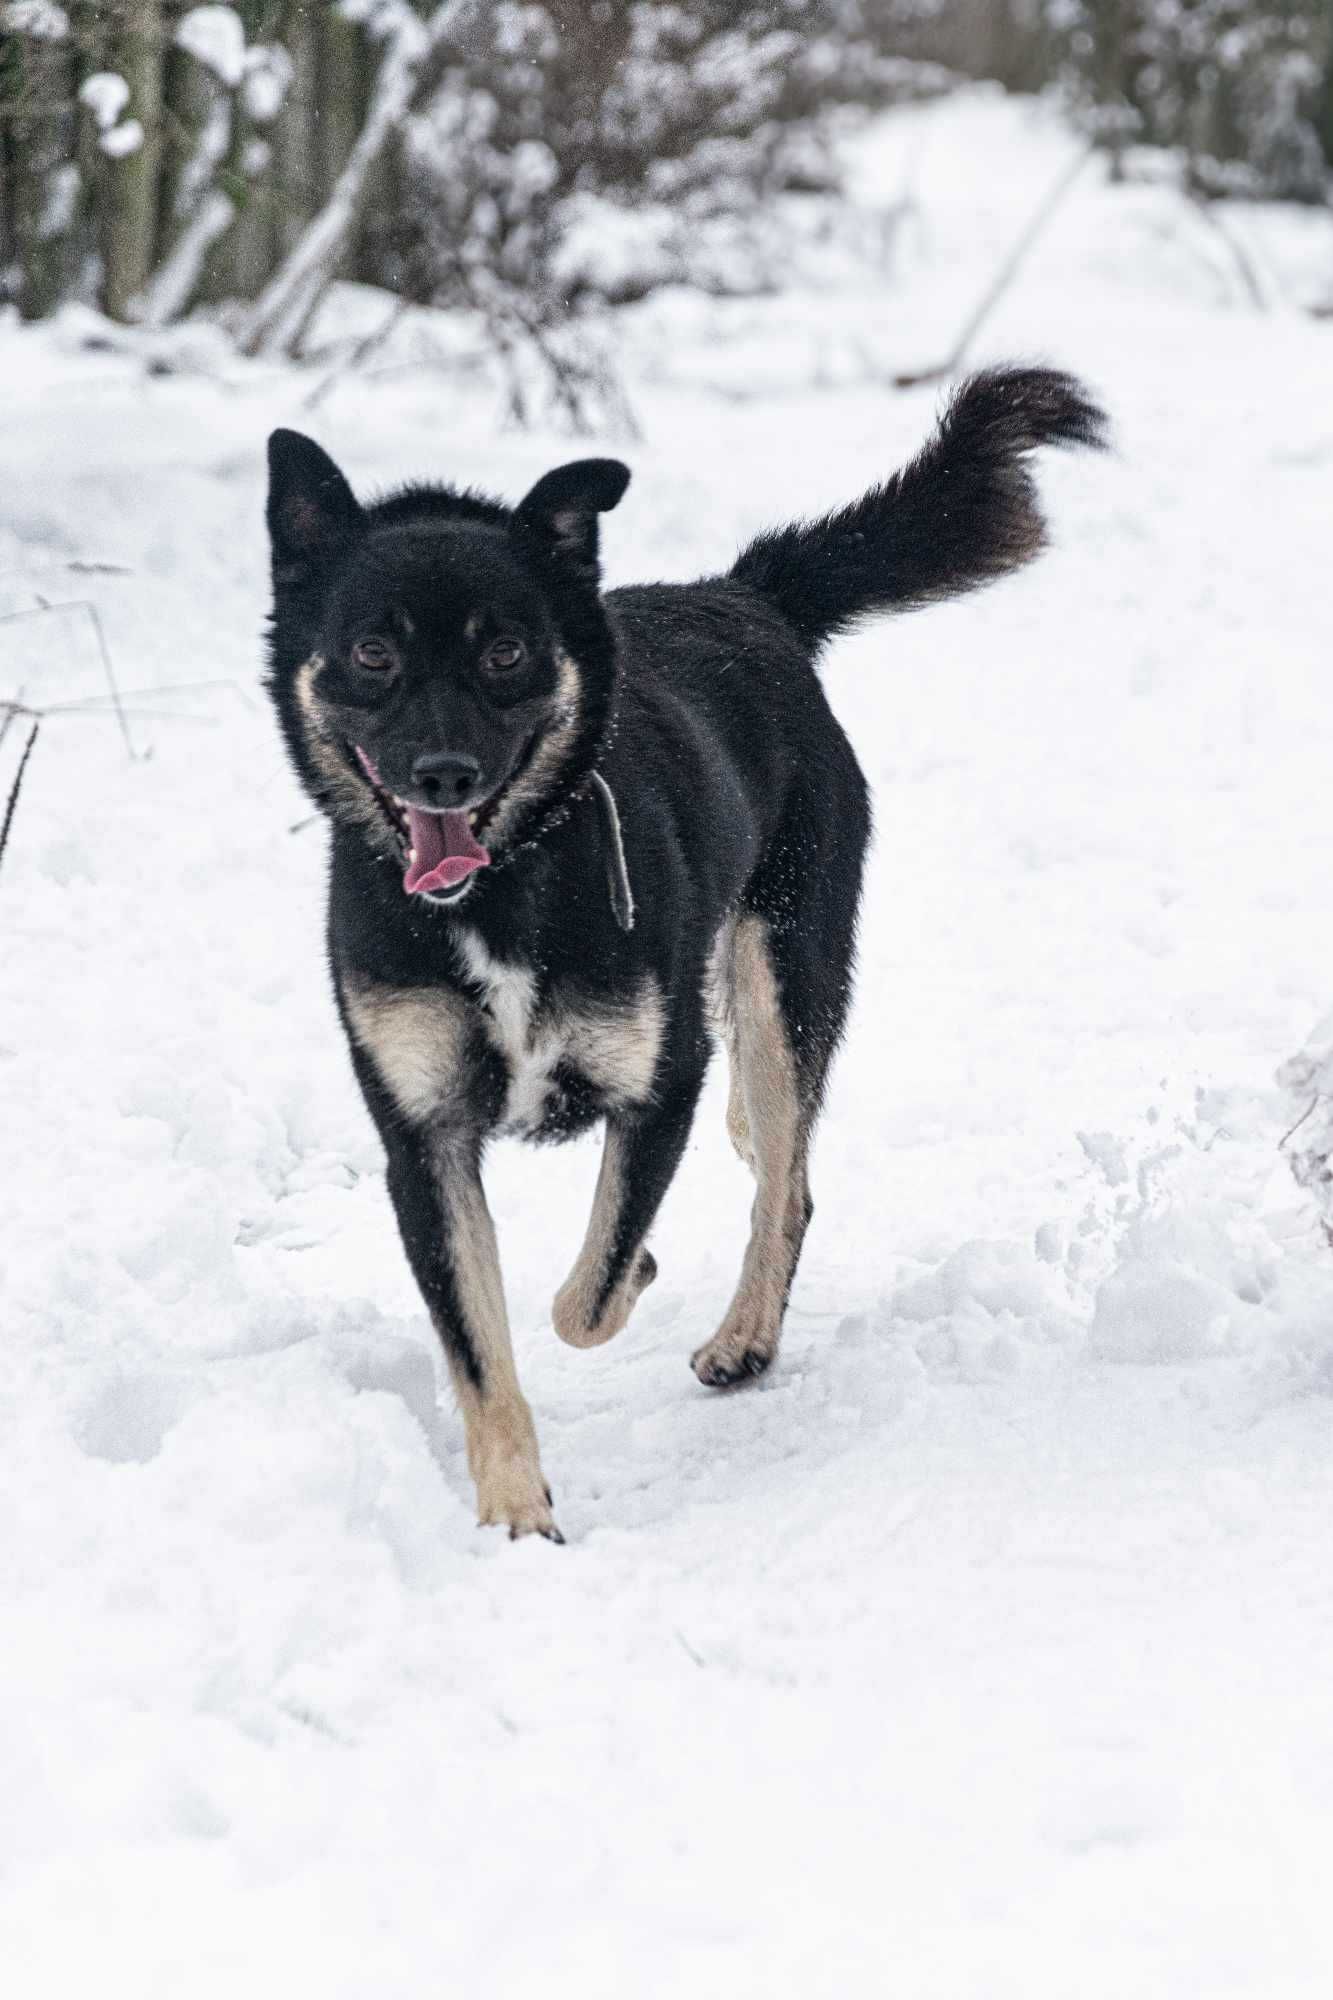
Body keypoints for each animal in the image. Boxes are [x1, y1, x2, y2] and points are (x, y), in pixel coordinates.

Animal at [264, 368, 1104, 1536]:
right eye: (372, 654)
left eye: (504, 651)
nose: (443, 773)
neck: (508, 885)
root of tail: (745, 596)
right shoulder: (423, 1139)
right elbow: (482, 1349)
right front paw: (515, 1516)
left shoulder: (662, 1078)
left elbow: (588, 1291)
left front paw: (639, 1273)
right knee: (765, 1145)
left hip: (783, 972)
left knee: (785, 1179)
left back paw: (745, 1335)